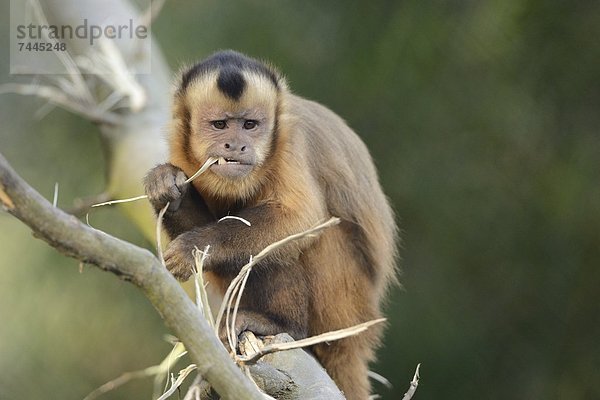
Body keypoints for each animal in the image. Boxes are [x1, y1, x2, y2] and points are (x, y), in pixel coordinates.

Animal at [144, 50, 398, 400]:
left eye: (250, 125)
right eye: (220, 125)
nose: (236, 146)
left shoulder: (291, 142)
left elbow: (300, 219)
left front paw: (192, 246)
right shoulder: (180, 149)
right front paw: (166, 185)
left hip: (344, 307)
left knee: (297, 244)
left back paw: (282, 324)